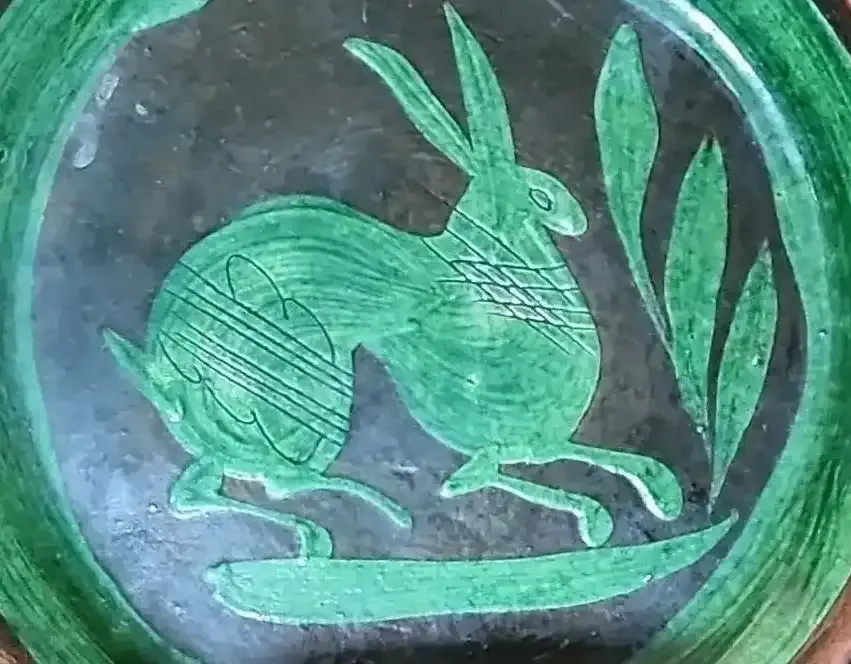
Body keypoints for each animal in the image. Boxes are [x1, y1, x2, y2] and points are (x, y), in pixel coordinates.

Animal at [104, 3, 682, 554]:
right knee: (267, 481)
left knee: (212, 485)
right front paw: (595, 515)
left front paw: (660, 489)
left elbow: (600, 455)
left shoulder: (539, 441)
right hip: (316, 399)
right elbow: (479, 481)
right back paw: (354, 516)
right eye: (542, 197)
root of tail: (168, 379)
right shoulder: (496, 450)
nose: (578, 221)